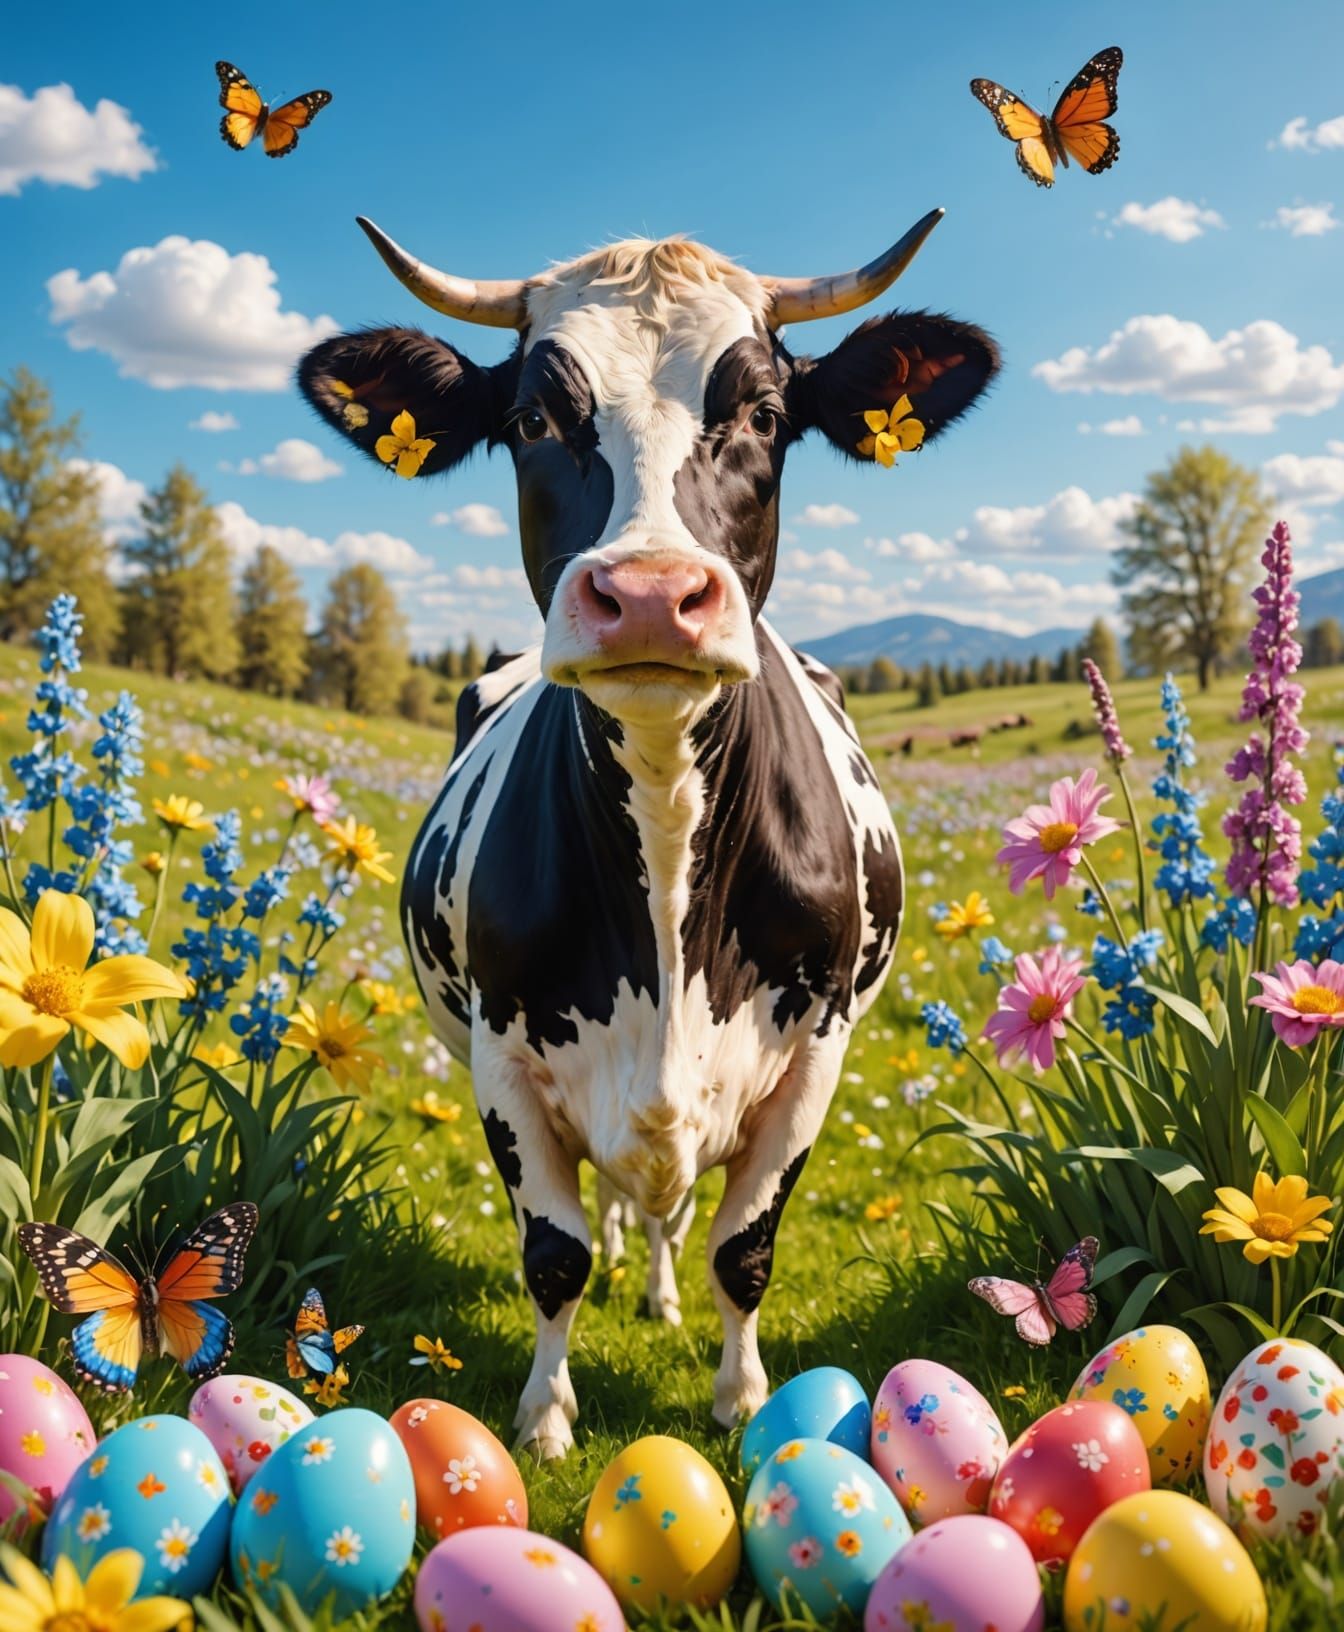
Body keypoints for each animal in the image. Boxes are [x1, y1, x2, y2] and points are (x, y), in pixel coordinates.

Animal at [298, 211, 998, 1456]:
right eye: (535, 419)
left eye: (763, 412)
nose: (653, 595)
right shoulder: (505, 1057)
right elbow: (555, 1253)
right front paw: (543, 1417)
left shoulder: (813, 1054)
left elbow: (743, 1248)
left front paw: (740, 1399)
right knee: (622, 1204)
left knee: (675, 1212)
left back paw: (665, 1291)